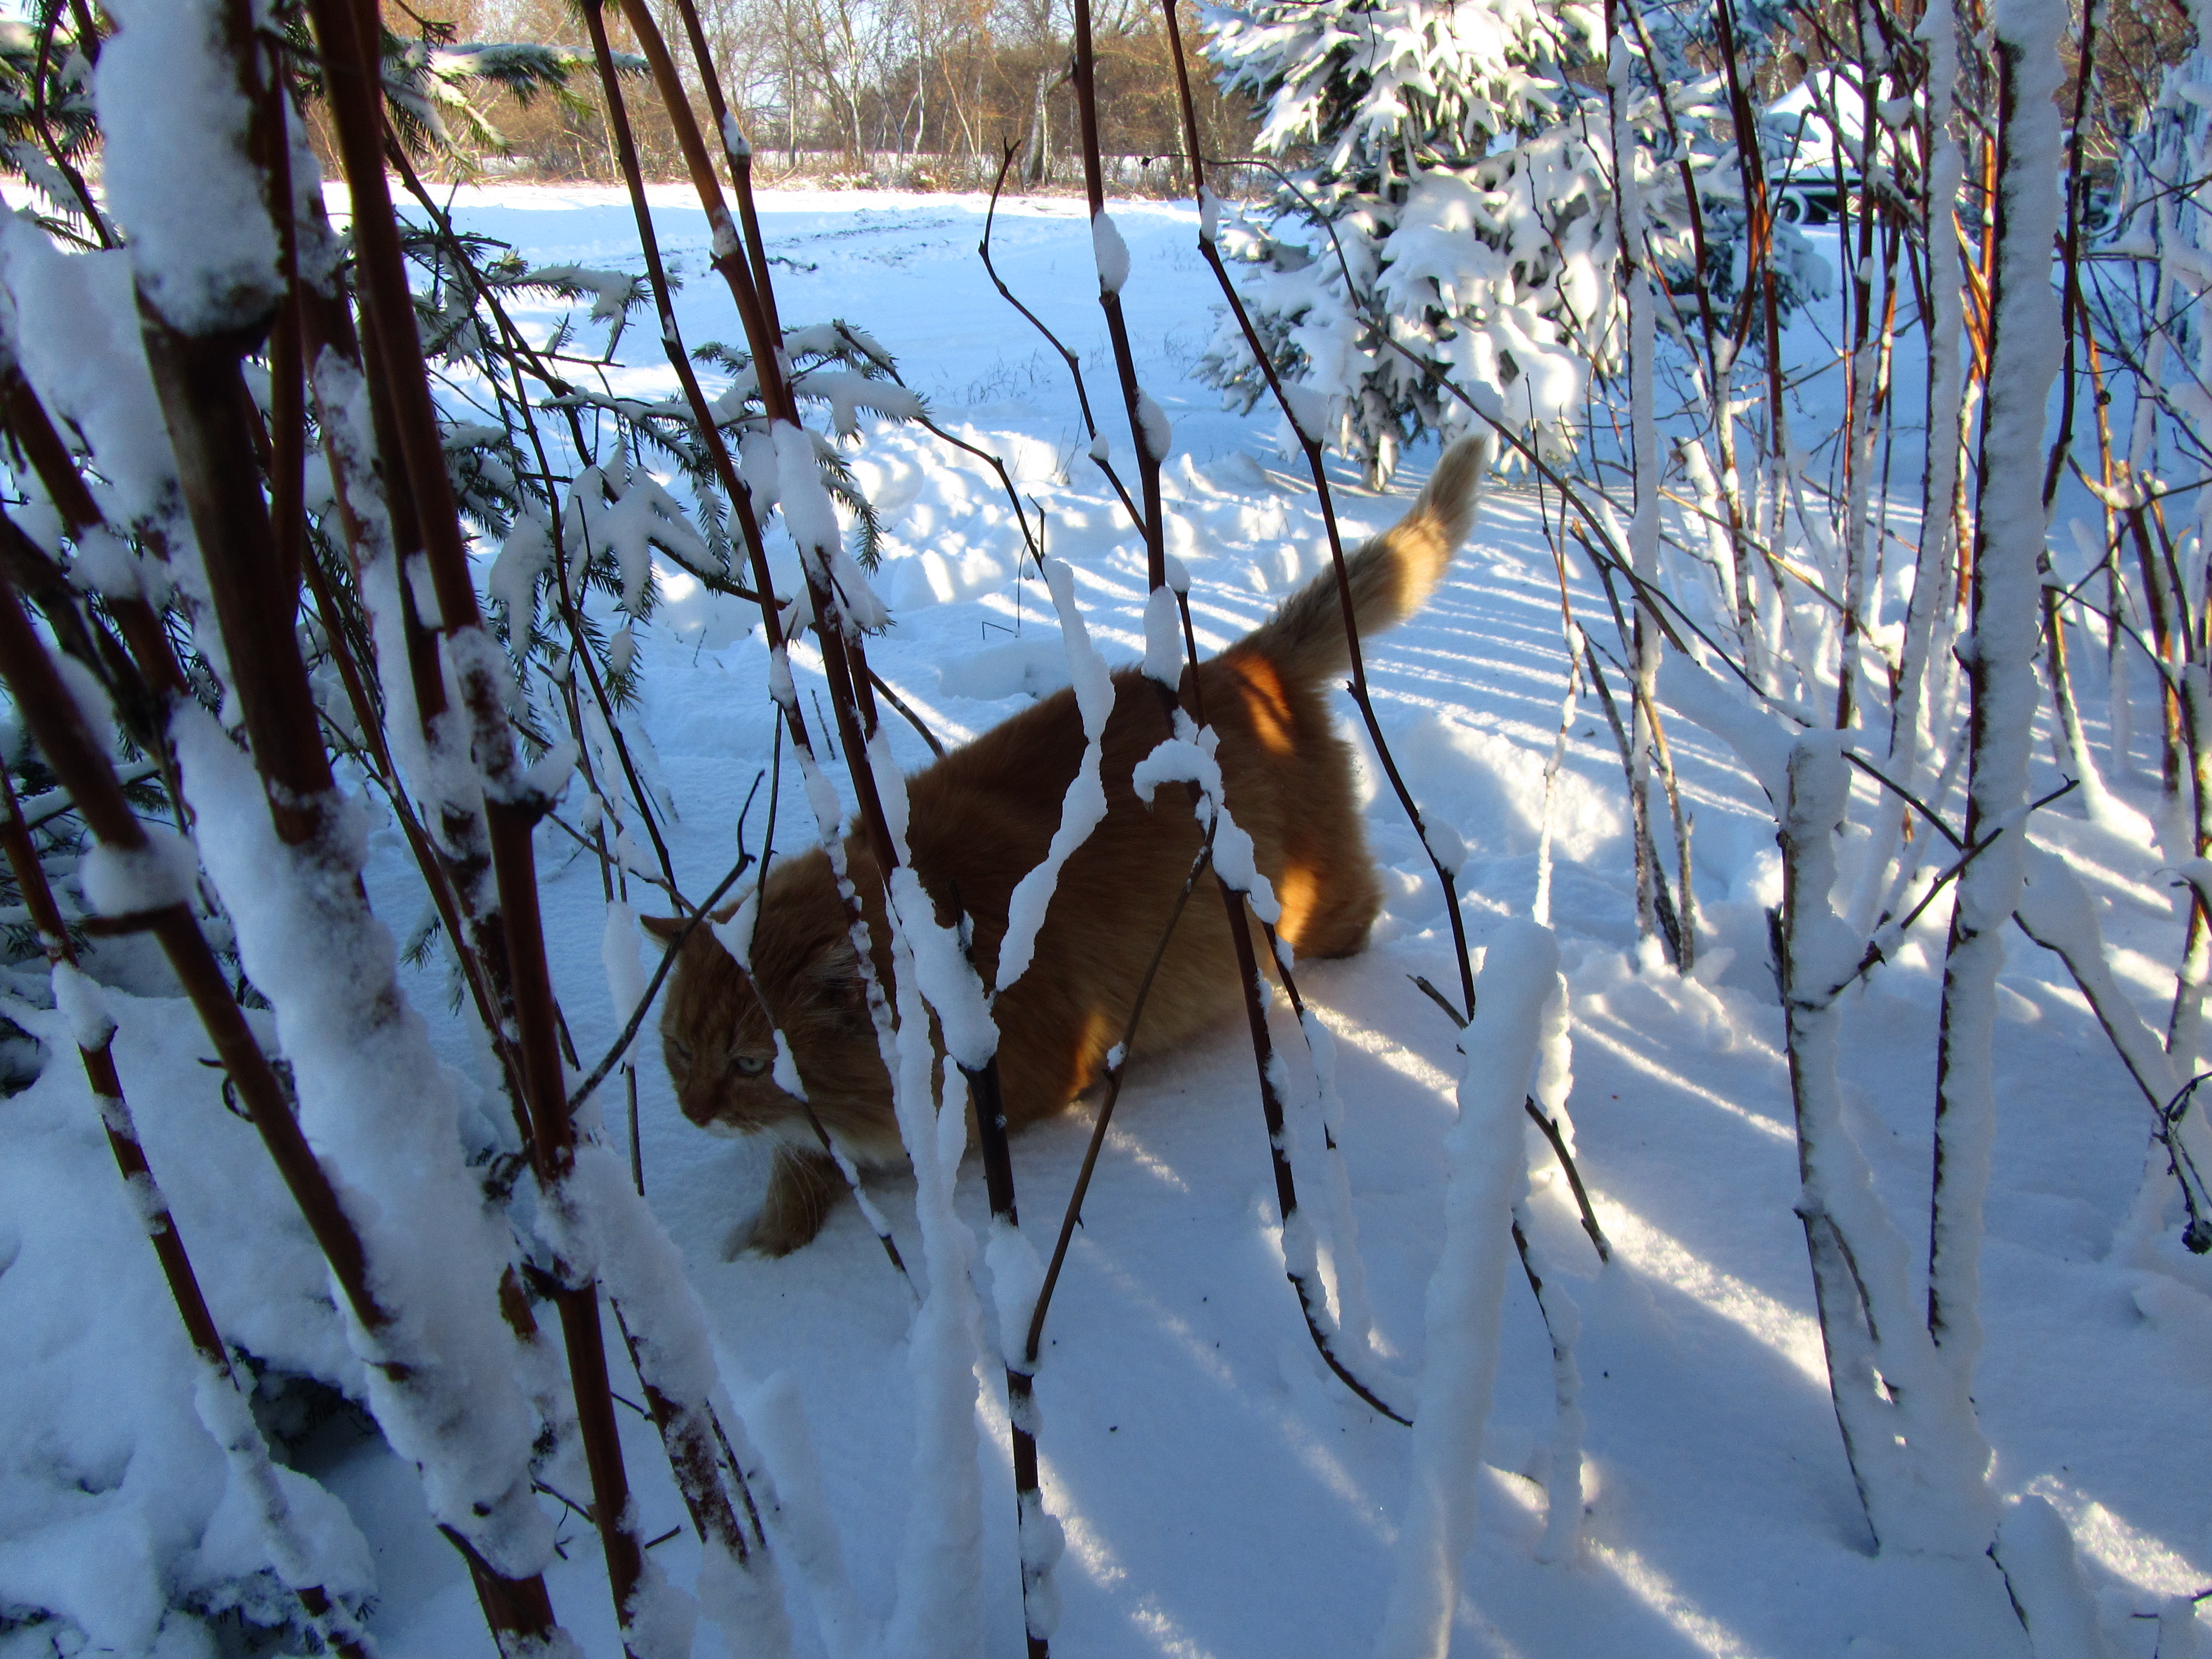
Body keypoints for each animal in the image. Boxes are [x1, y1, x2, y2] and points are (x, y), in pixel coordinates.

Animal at [650, 436, 1486, 1256]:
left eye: (751, 1063)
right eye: (682, 1052)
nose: (692, 1112)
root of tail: (1243, 661)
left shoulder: (1016, 1089)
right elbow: (808, 1153)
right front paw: (767, 1235)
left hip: (1312, 909)